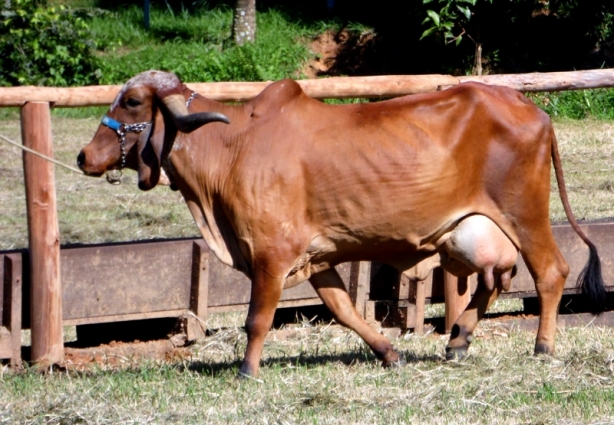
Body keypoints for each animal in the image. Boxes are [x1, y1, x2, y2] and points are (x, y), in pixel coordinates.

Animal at [77, 70, 608, 378]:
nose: (83, 156)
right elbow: (345, 310)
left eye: (131, 103)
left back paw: (542, 346)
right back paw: (457, 340)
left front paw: (247, 370)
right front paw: (388, 353)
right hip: (472, 232)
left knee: (550, 271)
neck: (231, 147)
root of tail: (534, 110)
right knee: (496, 278)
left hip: (525, 214)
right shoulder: (318, 257)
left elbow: (257, 319)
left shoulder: (271, 253)